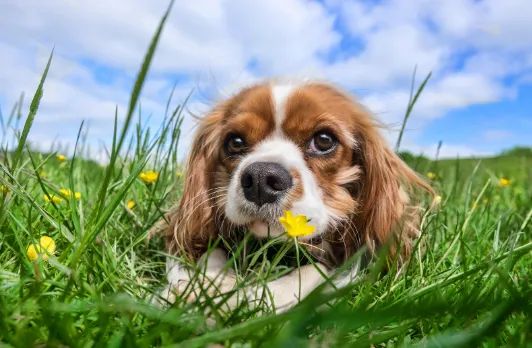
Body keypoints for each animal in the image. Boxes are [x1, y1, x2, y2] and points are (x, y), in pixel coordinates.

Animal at [151, 78, 436, 316]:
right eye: (235, 141)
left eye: (324, 140)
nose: (261, 179)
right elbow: (210, 253)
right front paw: (201, 289)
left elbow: (313, 272)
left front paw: (239, 299)